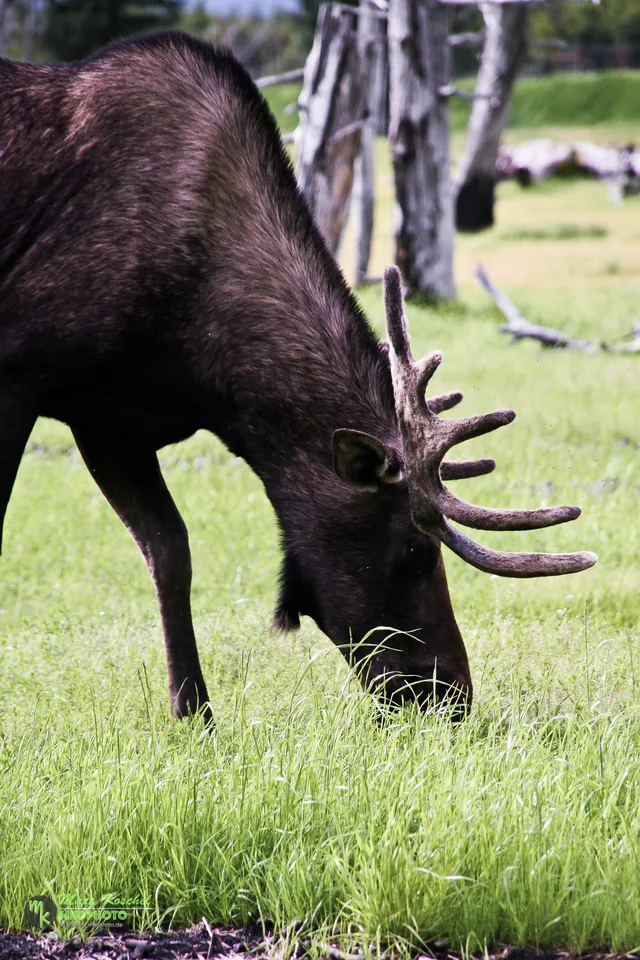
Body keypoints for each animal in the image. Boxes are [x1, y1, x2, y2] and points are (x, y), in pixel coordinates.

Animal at [0, 31, 597, 722]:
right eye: (416, 553)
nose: (450, 695)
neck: (207, 365)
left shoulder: (111, 418)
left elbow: (171, 553)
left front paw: (194, 712)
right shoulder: (23, 372)